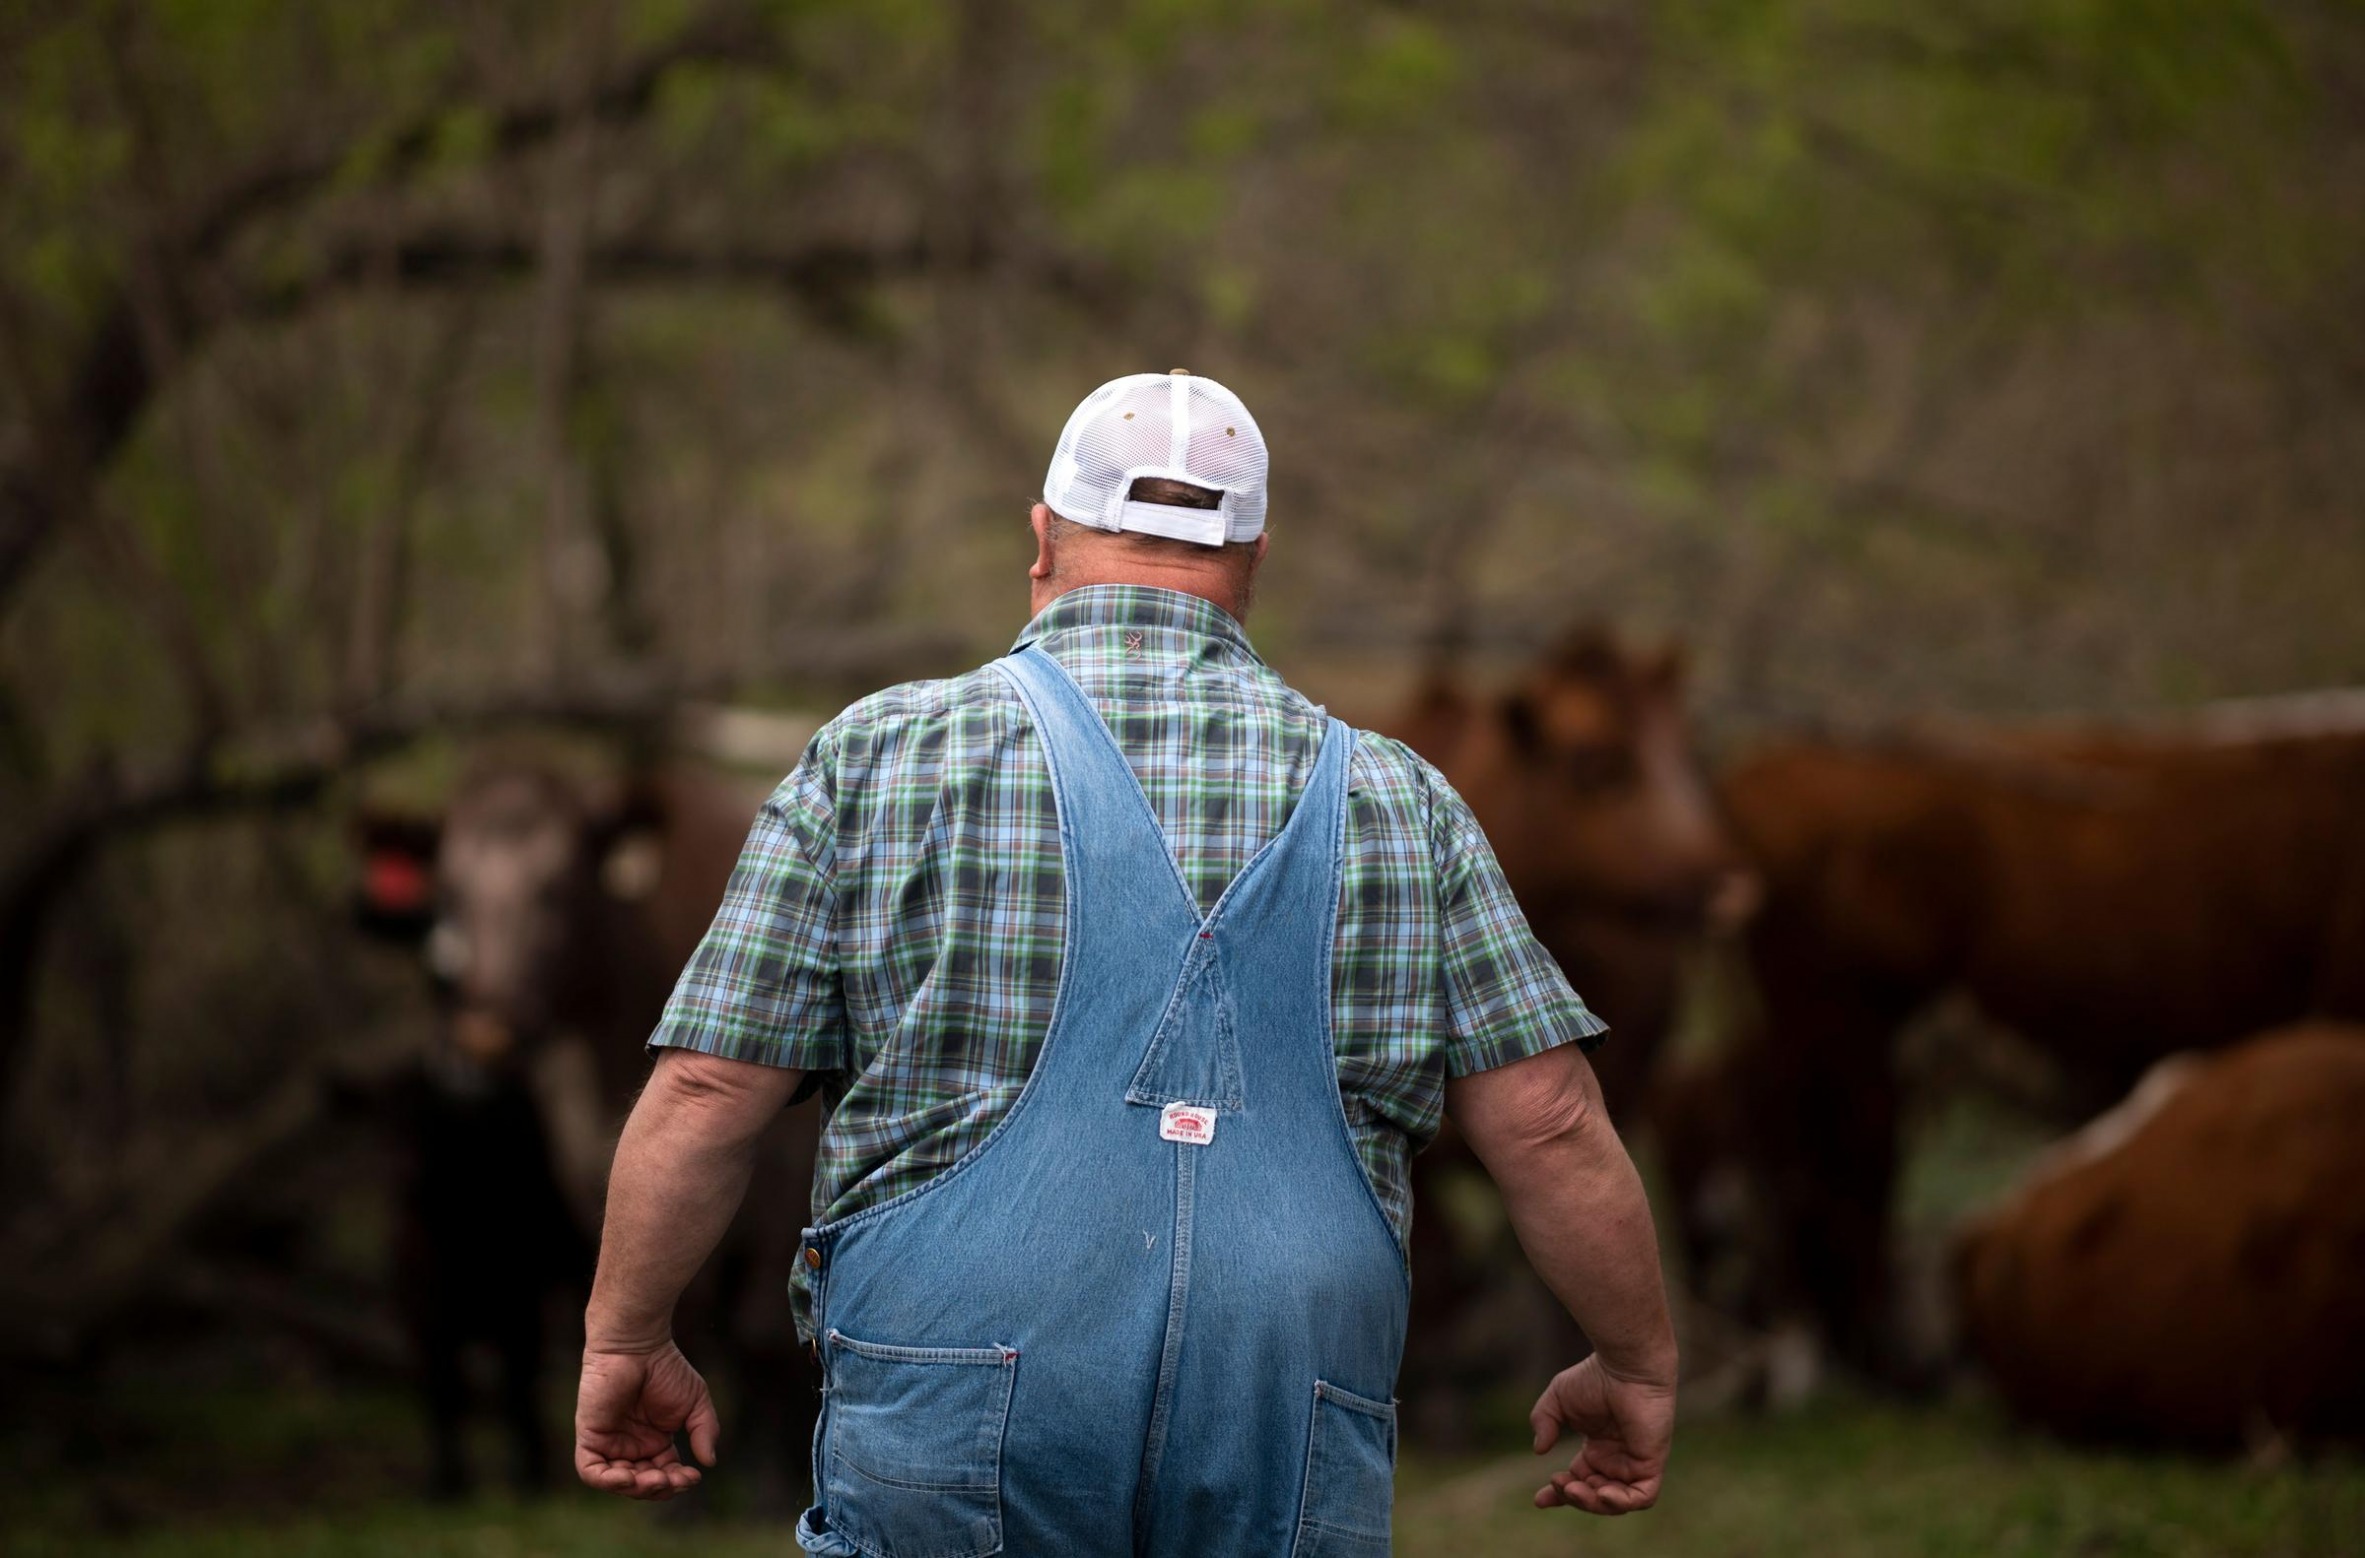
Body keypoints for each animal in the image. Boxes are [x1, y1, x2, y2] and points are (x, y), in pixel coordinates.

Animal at [352, 756, 823, 1513]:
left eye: (558, 888)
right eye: (448, 891)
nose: (484, 1033)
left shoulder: (784, 1181)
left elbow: (759, 1331)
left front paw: (768, 1487)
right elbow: (670, 1312)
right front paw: (683, 1500)